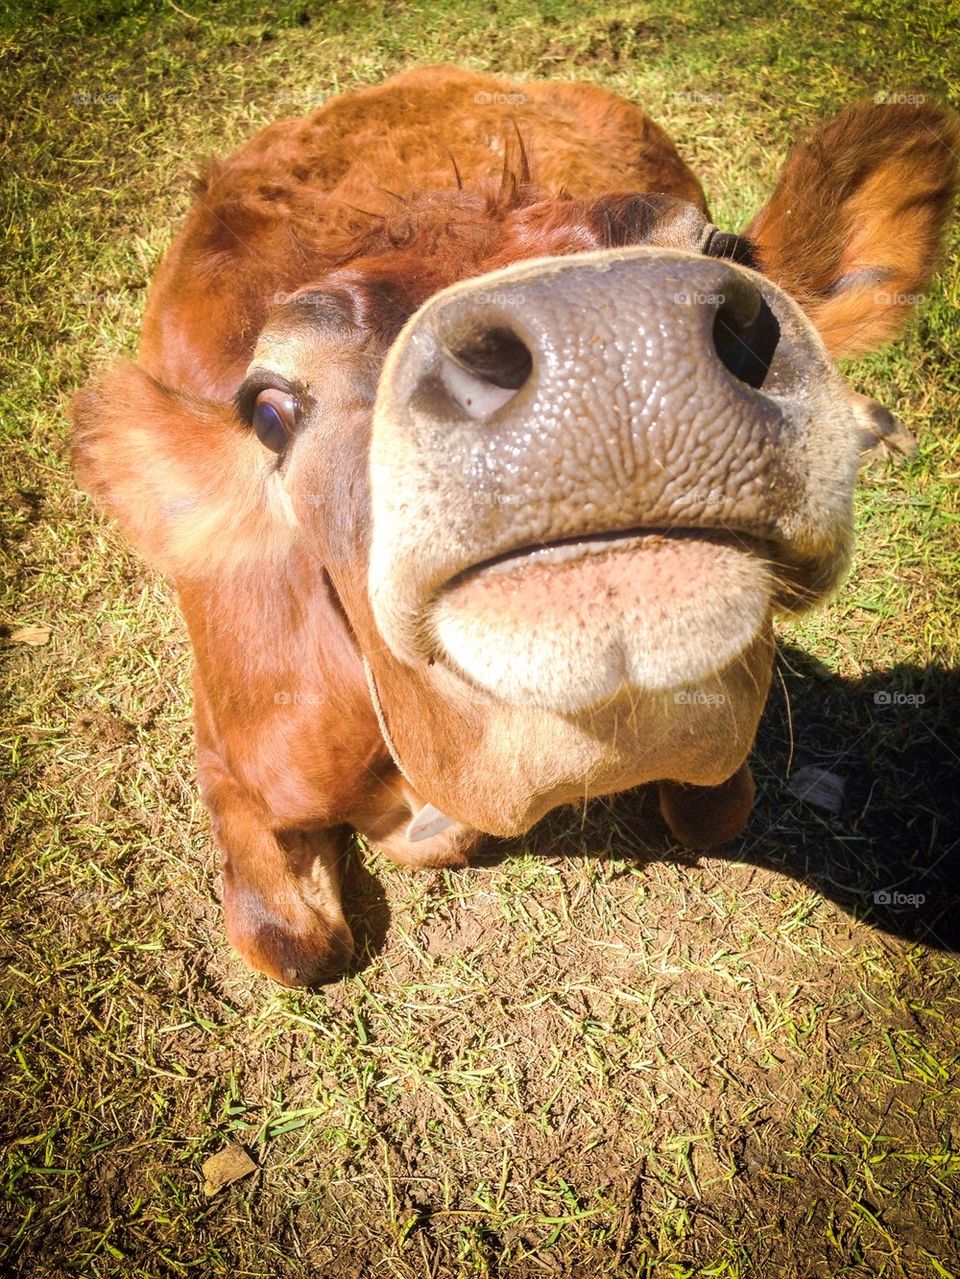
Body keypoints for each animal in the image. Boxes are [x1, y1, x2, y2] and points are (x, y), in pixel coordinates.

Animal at [72, 66, 958, 986]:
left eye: (732, 253)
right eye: (269, 410)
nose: (605, 330)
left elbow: (716, 808)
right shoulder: (231, 748)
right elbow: (295, 944)